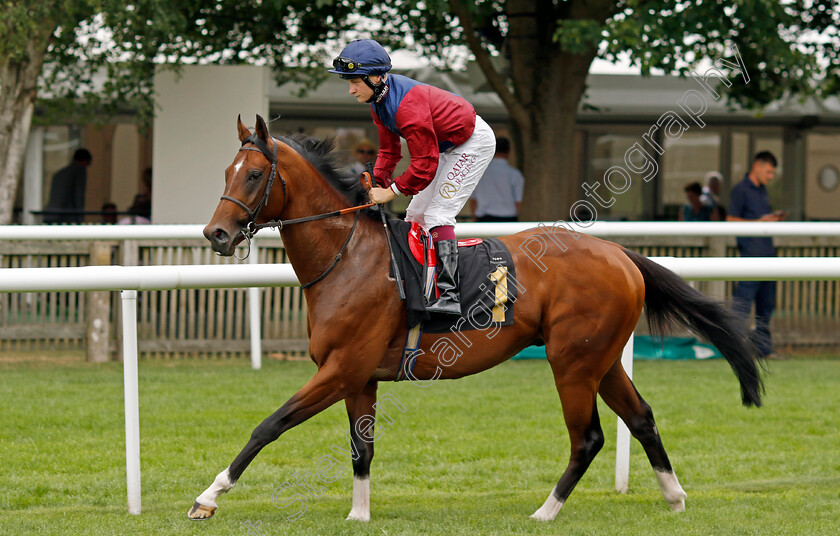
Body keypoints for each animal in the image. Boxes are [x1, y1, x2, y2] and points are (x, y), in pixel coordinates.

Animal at [190, 115, 760, 520]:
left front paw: (209, 496)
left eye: (255, 174)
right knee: (640, 417)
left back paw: (545, 512)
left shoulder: (340, 368)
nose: (216, 233)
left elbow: (269, 425)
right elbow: (361, 449)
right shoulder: (359, 377)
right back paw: (675, 497)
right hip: (602, 358)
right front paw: (358, 515)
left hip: (571, 361)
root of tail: (620, 253)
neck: (348, 256)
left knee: (588, 437)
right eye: (226, 172)